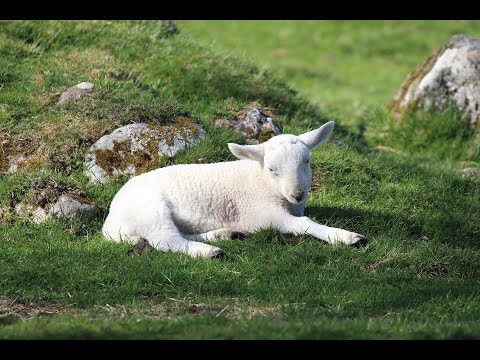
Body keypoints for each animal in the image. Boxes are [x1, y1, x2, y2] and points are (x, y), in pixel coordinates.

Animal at [102, 121, 368, 258]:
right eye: (272, 169)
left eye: (307, 161)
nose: (297, 194)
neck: (262, 182)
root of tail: (110, 223)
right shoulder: (264, 215)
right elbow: (304, 225)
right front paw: (348, 237)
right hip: (149, 210)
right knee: (166, 240)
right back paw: (209, 251)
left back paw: (224, 234)